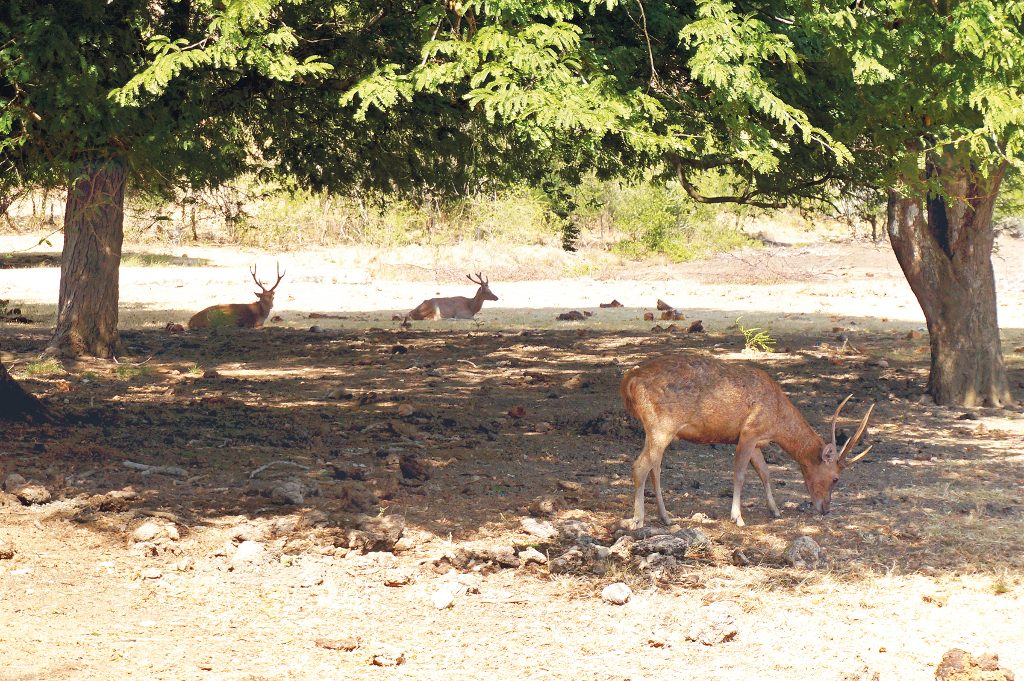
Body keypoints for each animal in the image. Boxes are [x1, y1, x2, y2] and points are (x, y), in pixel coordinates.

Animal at [614, 352, 872, 528]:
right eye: (836, 478)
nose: (826, 509)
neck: (777, 422)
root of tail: (629, 381)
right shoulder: (749, 432)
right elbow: (739, 474)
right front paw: (737, 516)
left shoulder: (757, 441)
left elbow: (765, 472)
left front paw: (775, 510)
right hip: (662, 425)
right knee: (640, 466)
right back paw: (638, 519)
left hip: (654, 430)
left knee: (654, 467)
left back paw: (666, 516)